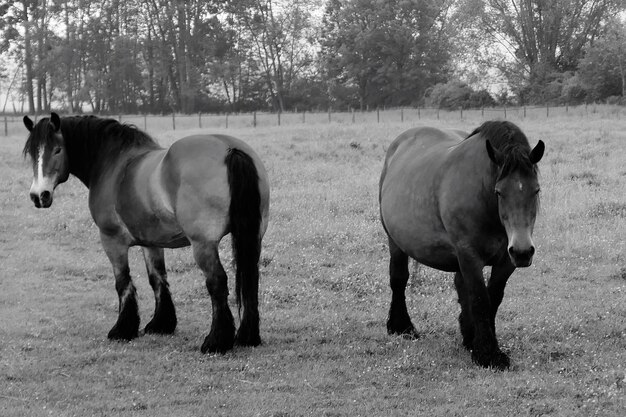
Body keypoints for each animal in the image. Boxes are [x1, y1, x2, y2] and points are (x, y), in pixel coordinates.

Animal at [22, 112, 268, 352]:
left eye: (57, 149)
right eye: (33, 153)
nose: (39, 196)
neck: (114, 164)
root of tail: (230, 149)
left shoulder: (112, 240)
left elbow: (122, 281)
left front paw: (122, 329)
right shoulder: (151, 242)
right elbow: (157, 278)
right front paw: (161, 324)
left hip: (203, 244)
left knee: (217, 282)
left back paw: (216, 341)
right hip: (253, 237)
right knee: (250, 279)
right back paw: (247, 336)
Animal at [378, 120, 544, 368]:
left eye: (536, 190)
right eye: (499, 192)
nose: (523, 251)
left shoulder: (506, 262)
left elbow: (493, 298)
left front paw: (478, 343)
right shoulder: (469, 255)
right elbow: (480, 299)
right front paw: (488, 354)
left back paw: (467, 334)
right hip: (395, 241)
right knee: (399, 279)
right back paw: (402, 326)